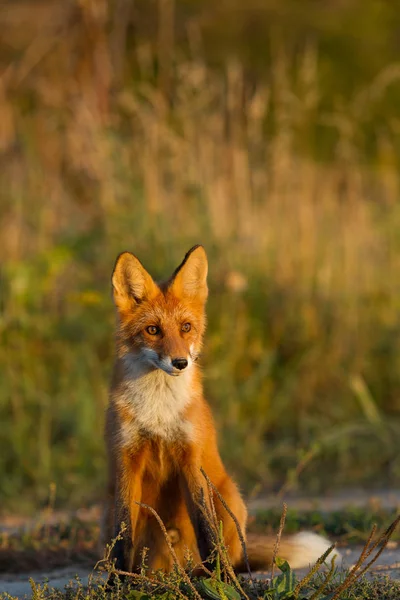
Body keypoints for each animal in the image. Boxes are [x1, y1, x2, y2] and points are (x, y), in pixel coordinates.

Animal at [102, 246, 338, 576]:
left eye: (186, 328)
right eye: (152, 330)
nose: (180, 362)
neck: (159, 412)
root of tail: (174, 567)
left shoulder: (191, 457)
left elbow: (206, 527)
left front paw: (221, 580)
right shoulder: (127, 457)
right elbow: (123, 534)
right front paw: (118, 581)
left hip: (230, 498)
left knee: (232, 554)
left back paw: (215, 571)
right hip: (106, 509)